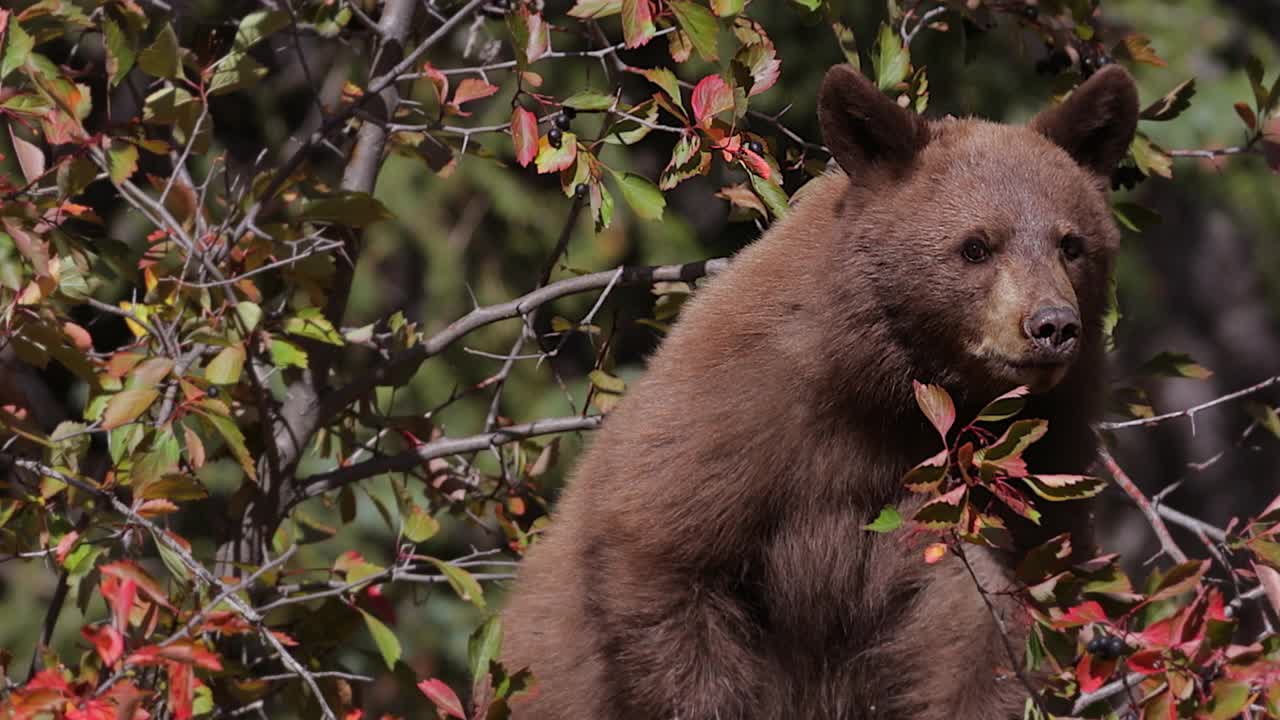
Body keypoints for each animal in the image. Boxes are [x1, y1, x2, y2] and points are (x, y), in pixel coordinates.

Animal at [496, 63, 1141, 717]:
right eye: (975, 246)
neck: (898, 392)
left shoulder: (1028, 465)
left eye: (1072, 244)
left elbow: (992, 622)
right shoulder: (738, 408)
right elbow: (663, 560)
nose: (1053, 326)